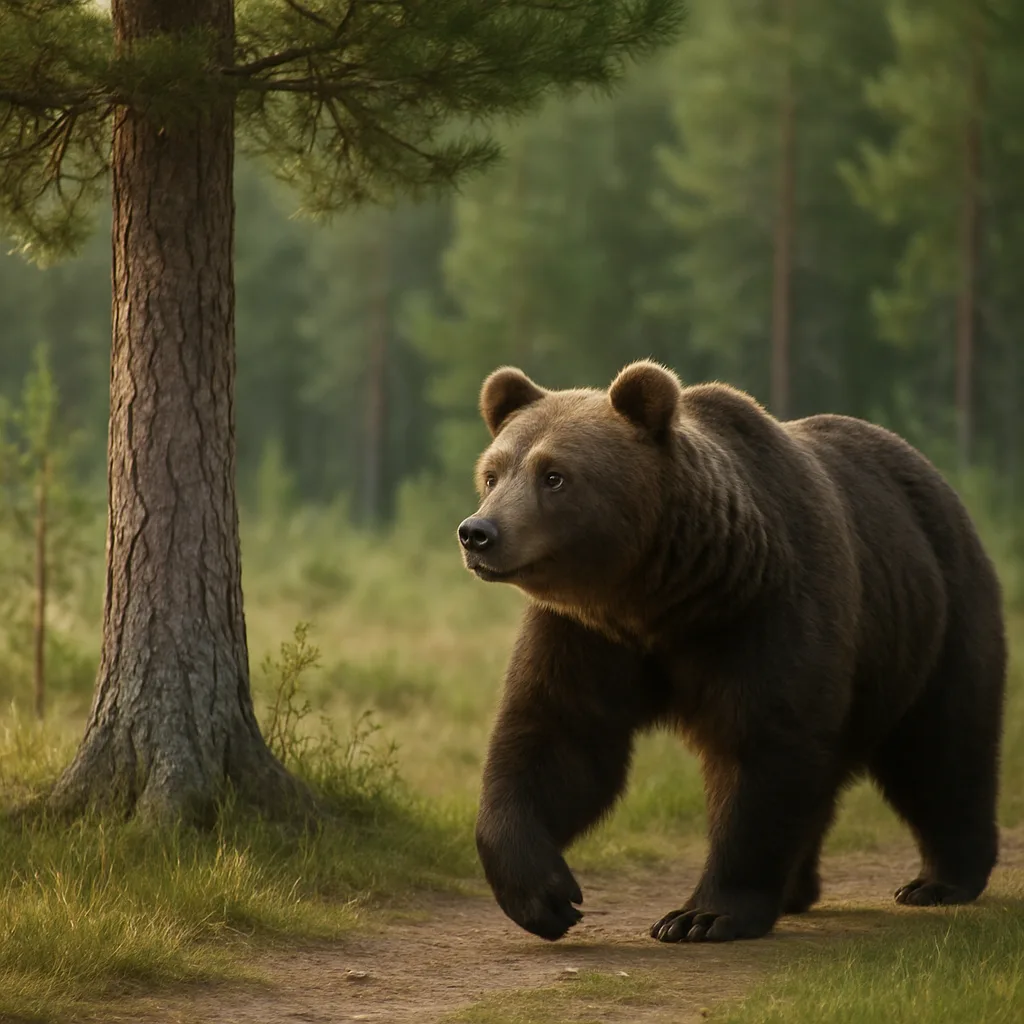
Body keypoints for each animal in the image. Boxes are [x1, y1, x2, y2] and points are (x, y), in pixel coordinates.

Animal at [457, 359, 1006, 945]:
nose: (478, 532)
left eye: (554, 475)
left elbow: (760, 750)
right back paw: (798, 890)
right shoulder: (585, 635)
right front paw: (544, 894)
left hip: (937, 615)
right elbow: (556, 739)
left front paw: (701, 915)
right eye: (492, 473)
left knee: (941, 745)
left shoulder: (767, 613)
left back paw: (941, 879)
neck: (661, 597)